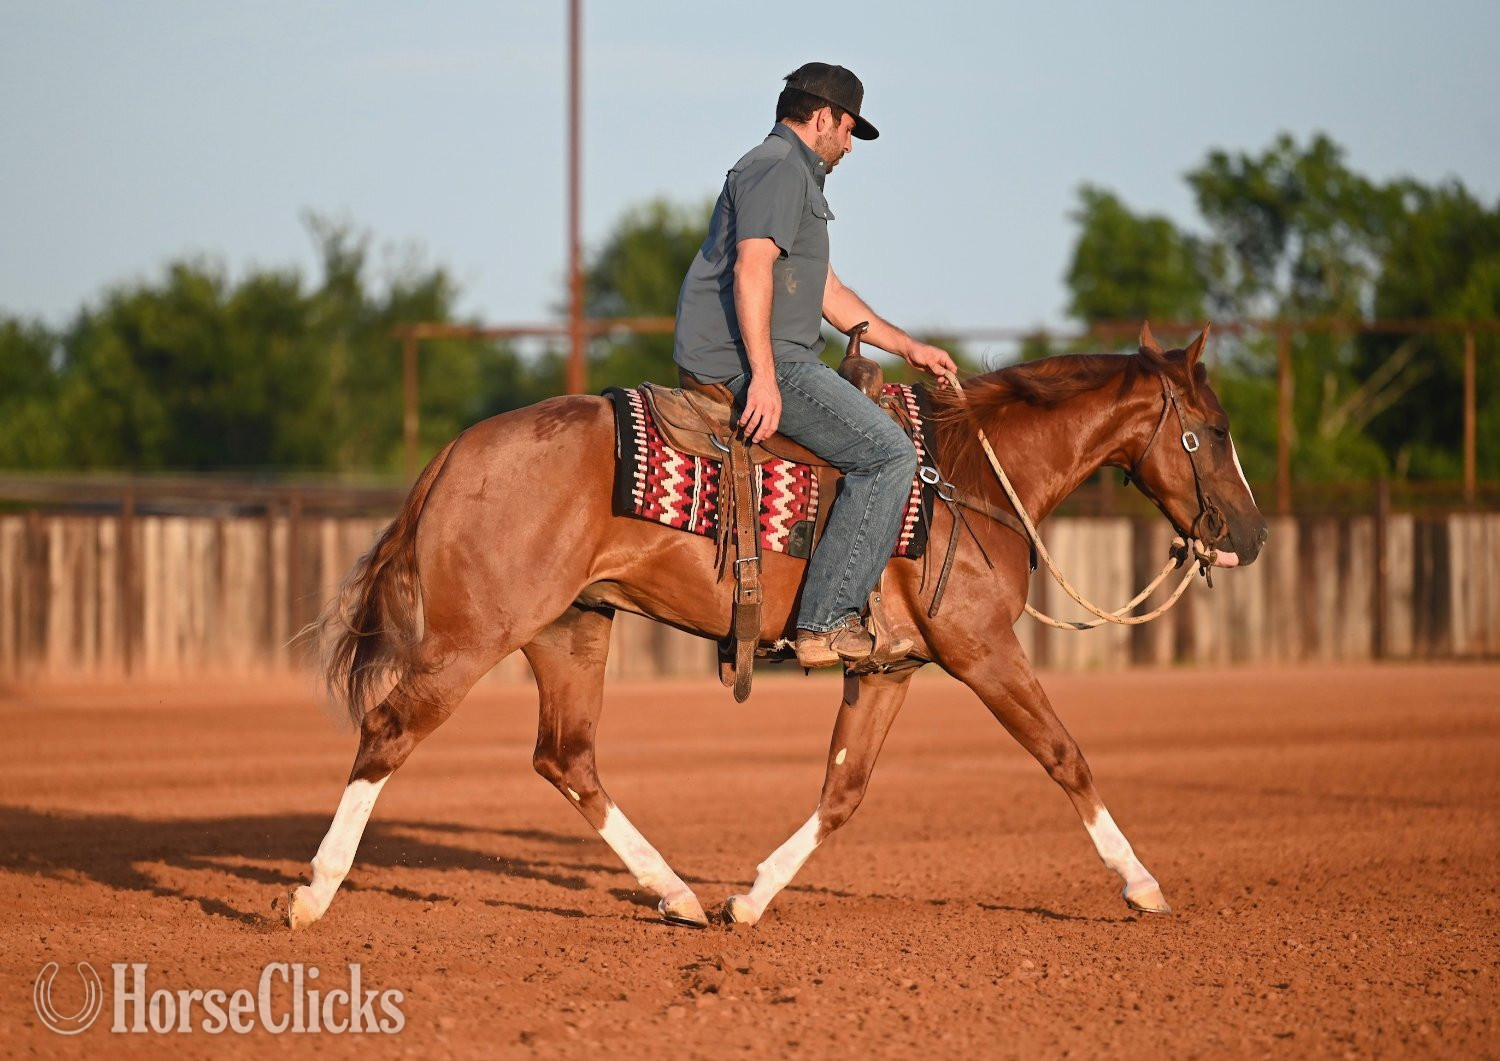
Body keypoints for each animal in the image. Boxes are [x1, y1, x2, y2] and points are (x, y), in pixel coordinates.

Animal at [286, 322, 1267, 930]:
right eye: (1215, 430)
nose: (1250, 536)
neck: (968, 478)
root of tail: (457, 451)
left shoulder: (889, 668)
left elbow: (844, 791)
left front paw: (750, 897)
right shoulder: (982, 650)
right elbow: (1066, 754)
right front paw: (1142, 884)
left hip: (571, 628)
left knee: (567, 758)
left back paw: (679, 895)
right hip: (471, 638)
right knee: (389, 730)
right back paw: (312, 893)